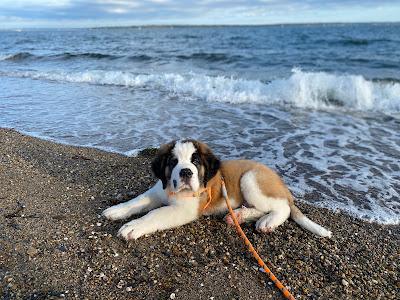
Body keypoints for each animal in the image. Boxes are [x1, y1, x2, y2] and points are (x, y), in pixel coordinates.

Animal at [103, 139, 332, 240]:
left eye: (195, 161)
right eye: (173, 162)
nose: (185, 172)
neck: (173, 192)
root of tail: (281, 183)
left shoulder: (184, 210)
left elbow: (155, 214)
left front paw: (133, 226)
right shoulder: (158, 190)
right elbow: (138, 201)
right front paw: (118, 209)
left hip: (250, 179)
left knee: (281, 207)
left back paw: (267, 221)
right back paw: (238, 216)